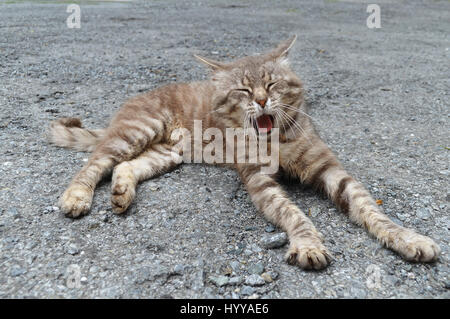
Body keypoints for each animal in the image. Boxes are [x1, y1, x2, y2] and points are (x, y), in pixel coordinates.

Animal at [48, 35, 440, 270]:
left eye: (272, 84)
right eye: (243, 90)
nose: (262, 100)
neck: (276, 140)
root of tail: (132, 100)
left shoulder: (331, 169)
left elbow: (369, 208)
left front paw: (407, 238)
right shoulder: (259, 181)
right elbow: (294, 213)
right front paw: (308, 243)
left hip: (167, 153)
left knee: (125, 166)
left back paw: (121, 192)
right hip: (136, 130)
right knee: (96, 161)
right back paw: (76, 196)